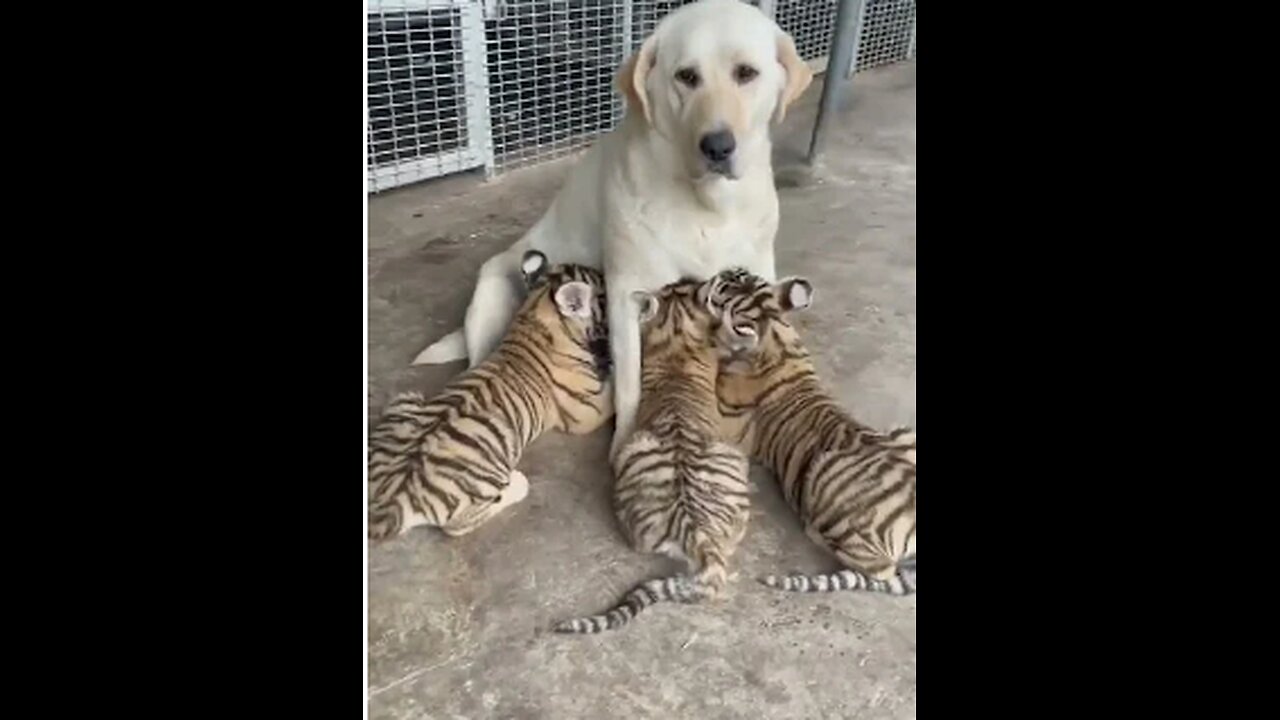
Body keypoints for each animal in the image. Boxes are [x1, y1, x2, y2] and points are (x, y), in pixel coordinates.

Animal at [412, 0, 808, 453]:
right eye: (687, 76)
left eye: (746, 73)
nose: (717, 147)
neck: (707, 205)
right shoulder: (626, 295)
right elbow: (629, 385)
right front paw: (623, 445)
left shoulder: (758, 274)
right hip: (491, 299)